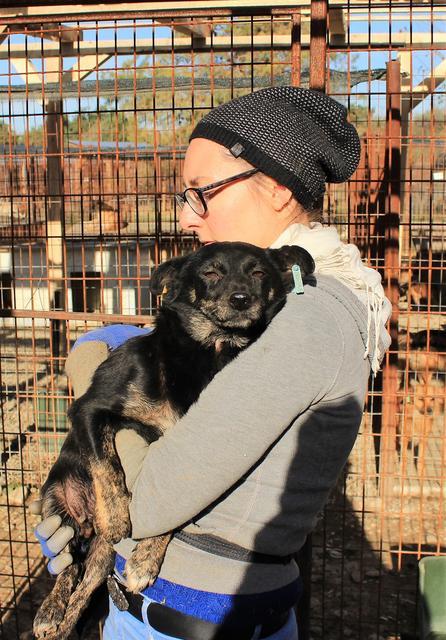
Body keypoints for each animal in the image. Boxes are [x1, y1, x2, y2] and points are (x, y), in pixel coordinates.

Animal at [34, 241, 314, 640]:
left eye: (259, 272)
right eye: (211, 272)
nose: (241, 299)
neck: (212, 347)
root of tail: (87, 525)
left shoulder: (192, 462)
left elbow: (176, 512)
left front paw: (146, 559)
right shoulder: (89, 410)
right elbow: (107, 466)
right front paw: (117, 516)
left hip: (101, 553)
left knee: (88, 583)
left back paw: (64, 620)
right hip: (58, 505)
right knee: (68, 565)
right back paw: (49, 612)